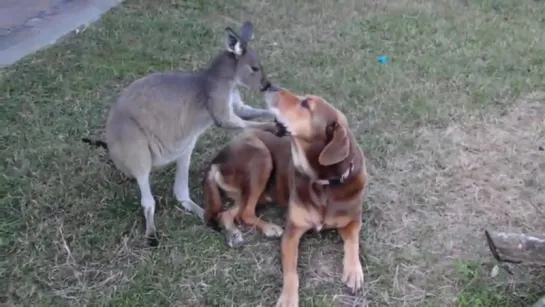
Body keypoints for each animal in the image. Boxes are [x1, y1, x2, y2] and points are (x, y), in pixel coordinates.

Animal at [203, 85, 366, 307]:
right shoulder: (292, 232)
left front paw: (354, 271)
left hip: (257, 187)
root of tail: (216, 160)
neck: (324, 182)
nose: (271, 86)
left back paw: (234, 233)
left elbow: (353, 243)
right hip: (261, 157)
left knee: (229, 213)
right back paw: (268, 228)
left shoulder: (353, 221)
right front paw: (288, 297)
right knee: (245, 212)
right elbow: (291, 273)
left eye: (306, 104)